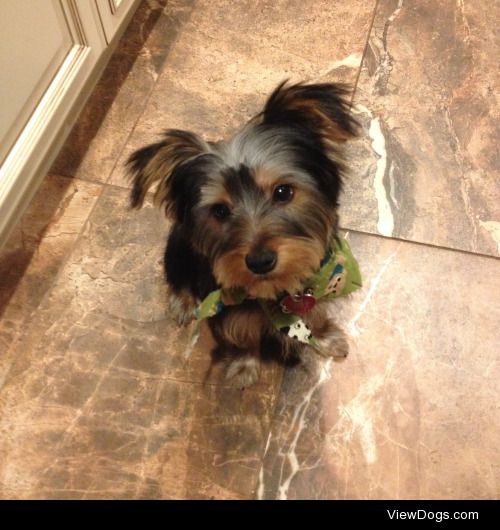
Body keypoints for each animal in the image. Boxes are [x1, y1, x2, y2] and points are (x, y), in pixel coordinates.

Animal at [127, 81, 358, 388]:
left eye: (283, 192)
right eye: (220, 211)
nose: (260, 262)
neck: (275, 290)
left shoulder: (318, 283)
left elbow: (316, 313)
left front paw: (327, 339)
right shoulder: (229, 306)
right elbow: (242, 332)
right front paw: (244, 367)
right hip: (177, 247)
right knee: (177, 277)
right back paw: (183, 303)